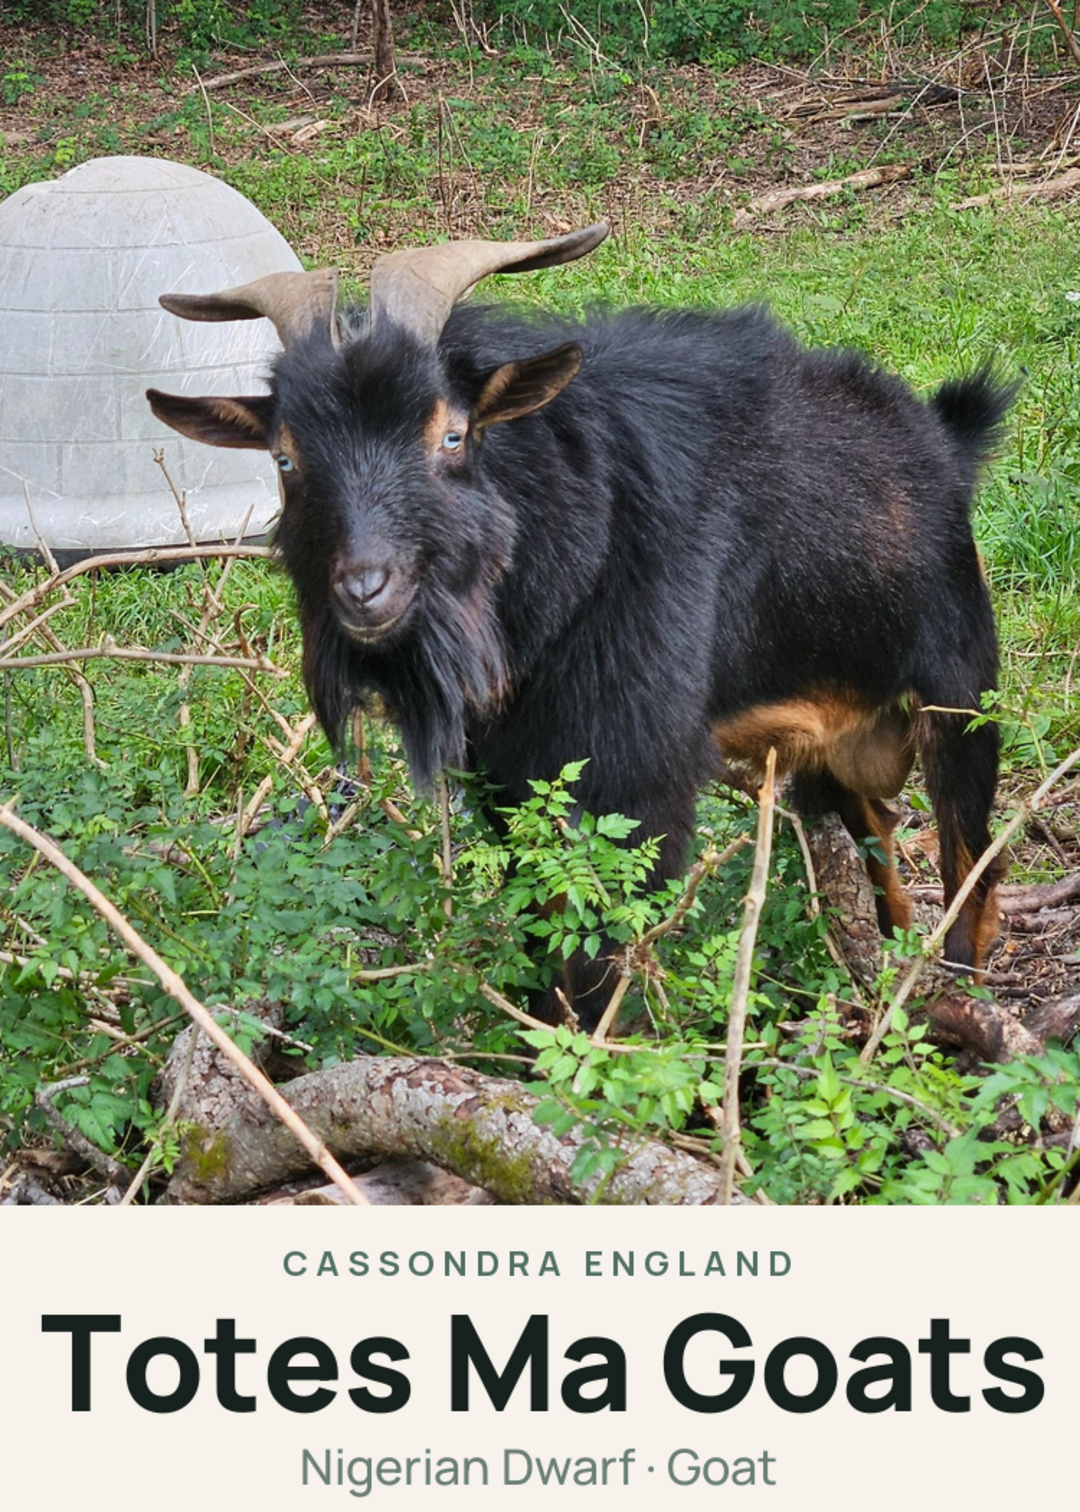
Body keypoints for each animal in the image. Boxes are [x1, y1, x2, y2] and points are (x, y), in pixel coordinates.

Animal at [147, 225, 1014, 1030]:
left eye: (452, 434)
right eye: (285, 459)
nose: (365, 589)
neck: (583, 535)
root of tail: (943, 436)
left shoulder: (640, 774)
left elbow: (606, 955)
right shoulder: (511, 774)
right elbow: (544, 936)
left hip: (959, 689)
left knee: (973, 863)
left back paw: (959, 1004)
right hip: (832, 742)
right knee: (881, 845)